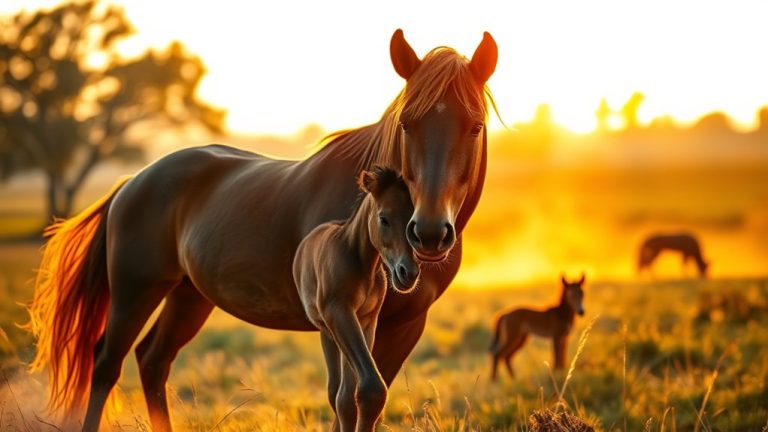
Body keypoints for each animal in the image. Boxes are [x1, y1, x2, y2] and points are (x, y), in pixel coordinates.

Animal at [294, 166, 419, 431]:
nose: (408, 273)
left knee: (341, 393)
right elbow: (368, 388)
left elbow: (356, 394)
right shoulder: (339, 313)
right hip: (327, 331)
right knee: (335, 391)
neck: (362, 265)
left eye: (411, 221)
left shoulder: (367, 320)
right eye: (384, 218)